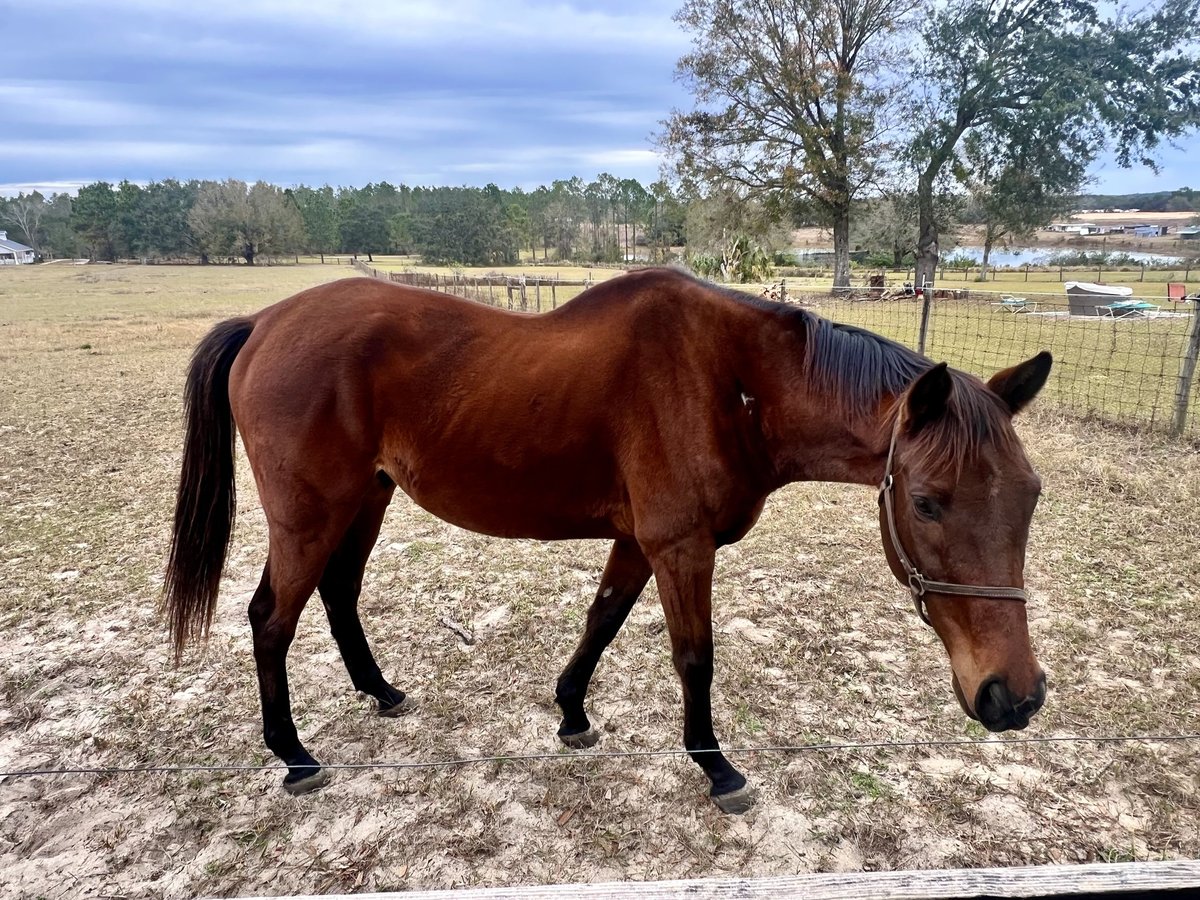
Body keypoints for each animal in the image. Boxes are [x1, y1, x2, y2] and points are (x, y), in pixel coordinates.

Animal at [166, 266, 1051, 811]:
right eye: (929, 503)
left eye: (1032, 498)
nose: (1015, 697)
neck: (732, 383)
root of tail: (265, 322)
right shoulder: (679, 546)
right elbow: (693, 657)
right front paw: (715, 765)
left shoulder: (640, 543)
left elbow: (601, 620)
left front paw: (571, 714)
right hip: (311, 514)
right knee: (271, 619)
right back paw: (292, 755)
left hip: (365, 501)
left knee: (338, 594)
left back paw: (380, 692)